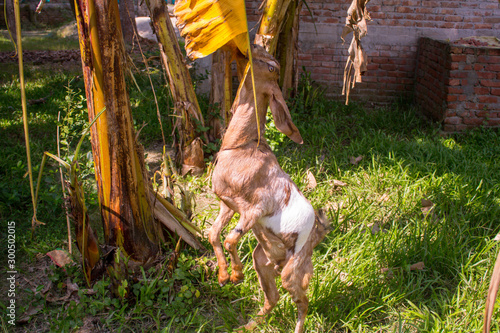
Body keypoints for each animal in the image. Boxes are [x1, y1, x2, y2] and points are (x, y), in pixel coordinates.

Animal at [209, 44, 330, 332]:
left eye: (273, 67)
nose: (252, 45)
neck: (243, 146)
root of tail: (318, 235)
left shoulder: (257, 208)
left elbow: (230, 238)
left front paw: (236, 274)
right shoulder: (228, 204)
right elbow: (214, 234)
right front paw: (223, 275)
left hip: (293, 269)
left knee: (302, 301)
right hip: (262, 261)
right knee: (273, 296)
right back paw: (248, 325)